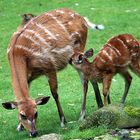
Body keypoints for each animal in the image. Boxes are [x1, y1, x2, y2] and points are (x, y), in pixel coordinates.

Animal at [1, 7, 104, 137]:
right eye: (22, 115)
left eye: (36, 113)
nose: (34, 133)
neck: (18, 54)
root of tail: (83, 18)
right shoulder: (28, 77)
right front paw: (19, 127)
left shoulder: (49, 66)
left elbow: (54, 93)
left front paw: (63, 121)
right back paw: (100, 105)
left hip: (78, 51)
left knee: (84, 81)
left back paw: (82, 115)